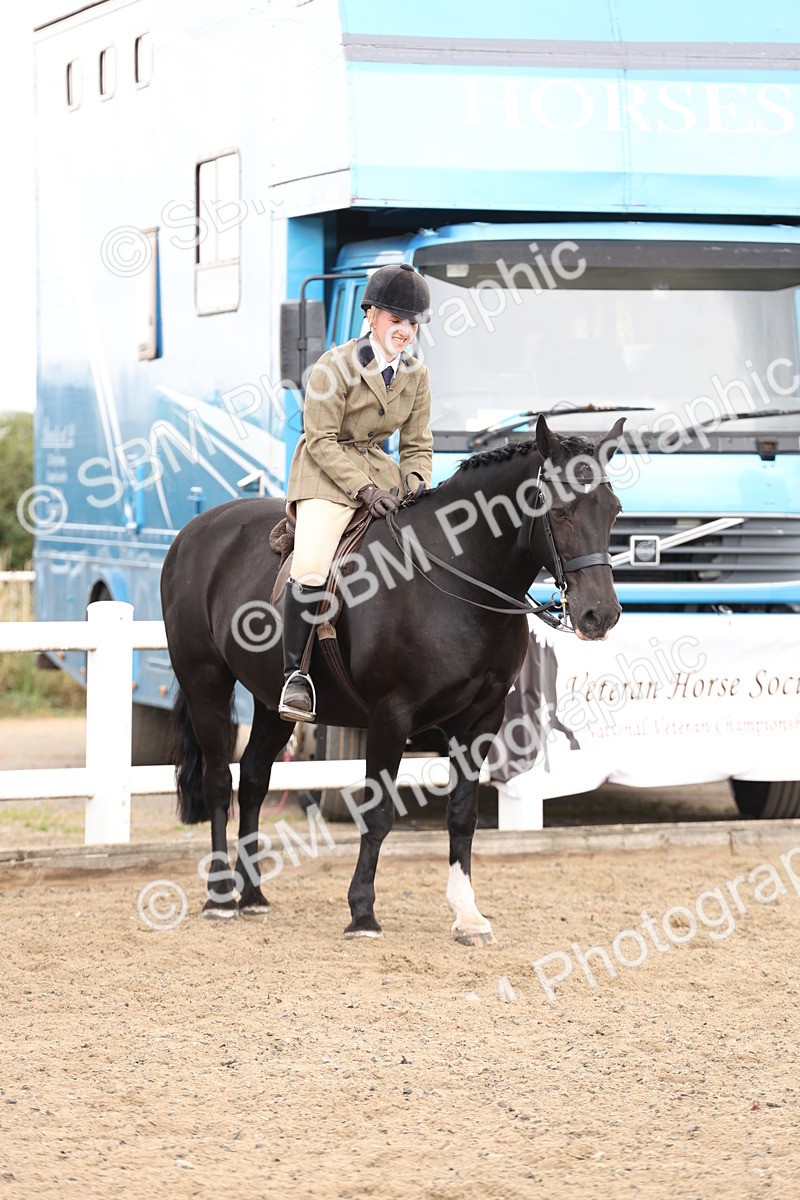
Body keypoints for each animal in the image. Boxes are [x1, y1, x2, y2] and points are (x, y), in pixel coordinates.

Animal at [160, 416, 624, 944]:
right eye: (560, 511)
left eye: (613, 511)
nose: (600, 615)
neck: (458, 576)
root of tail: (196, 529)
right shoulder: (391, 716)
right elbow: (378, 812)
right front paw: (362, 912)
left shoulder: (482, 719)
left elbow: (463, 815)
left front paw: (467, 914)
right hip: (206, 684)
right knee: (220, 781)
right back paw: (220, 897)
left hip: (271, 701)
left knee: (255, 779)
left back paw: (253, 894)